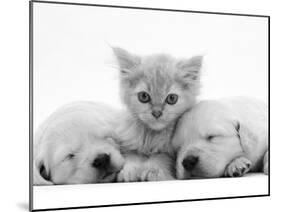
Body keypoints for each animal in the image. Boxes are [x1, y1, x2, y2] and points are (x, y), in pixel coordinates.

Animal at [111, 47, 201, 181]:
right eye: (143, 96)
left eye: (172, 98)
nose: (157, 113)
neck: (151, 136)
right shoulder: (129, 146)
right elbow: (132, 158)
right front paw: (129, 171)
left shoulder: (169, 153)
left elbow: (160, 158)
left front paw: (152, 171)